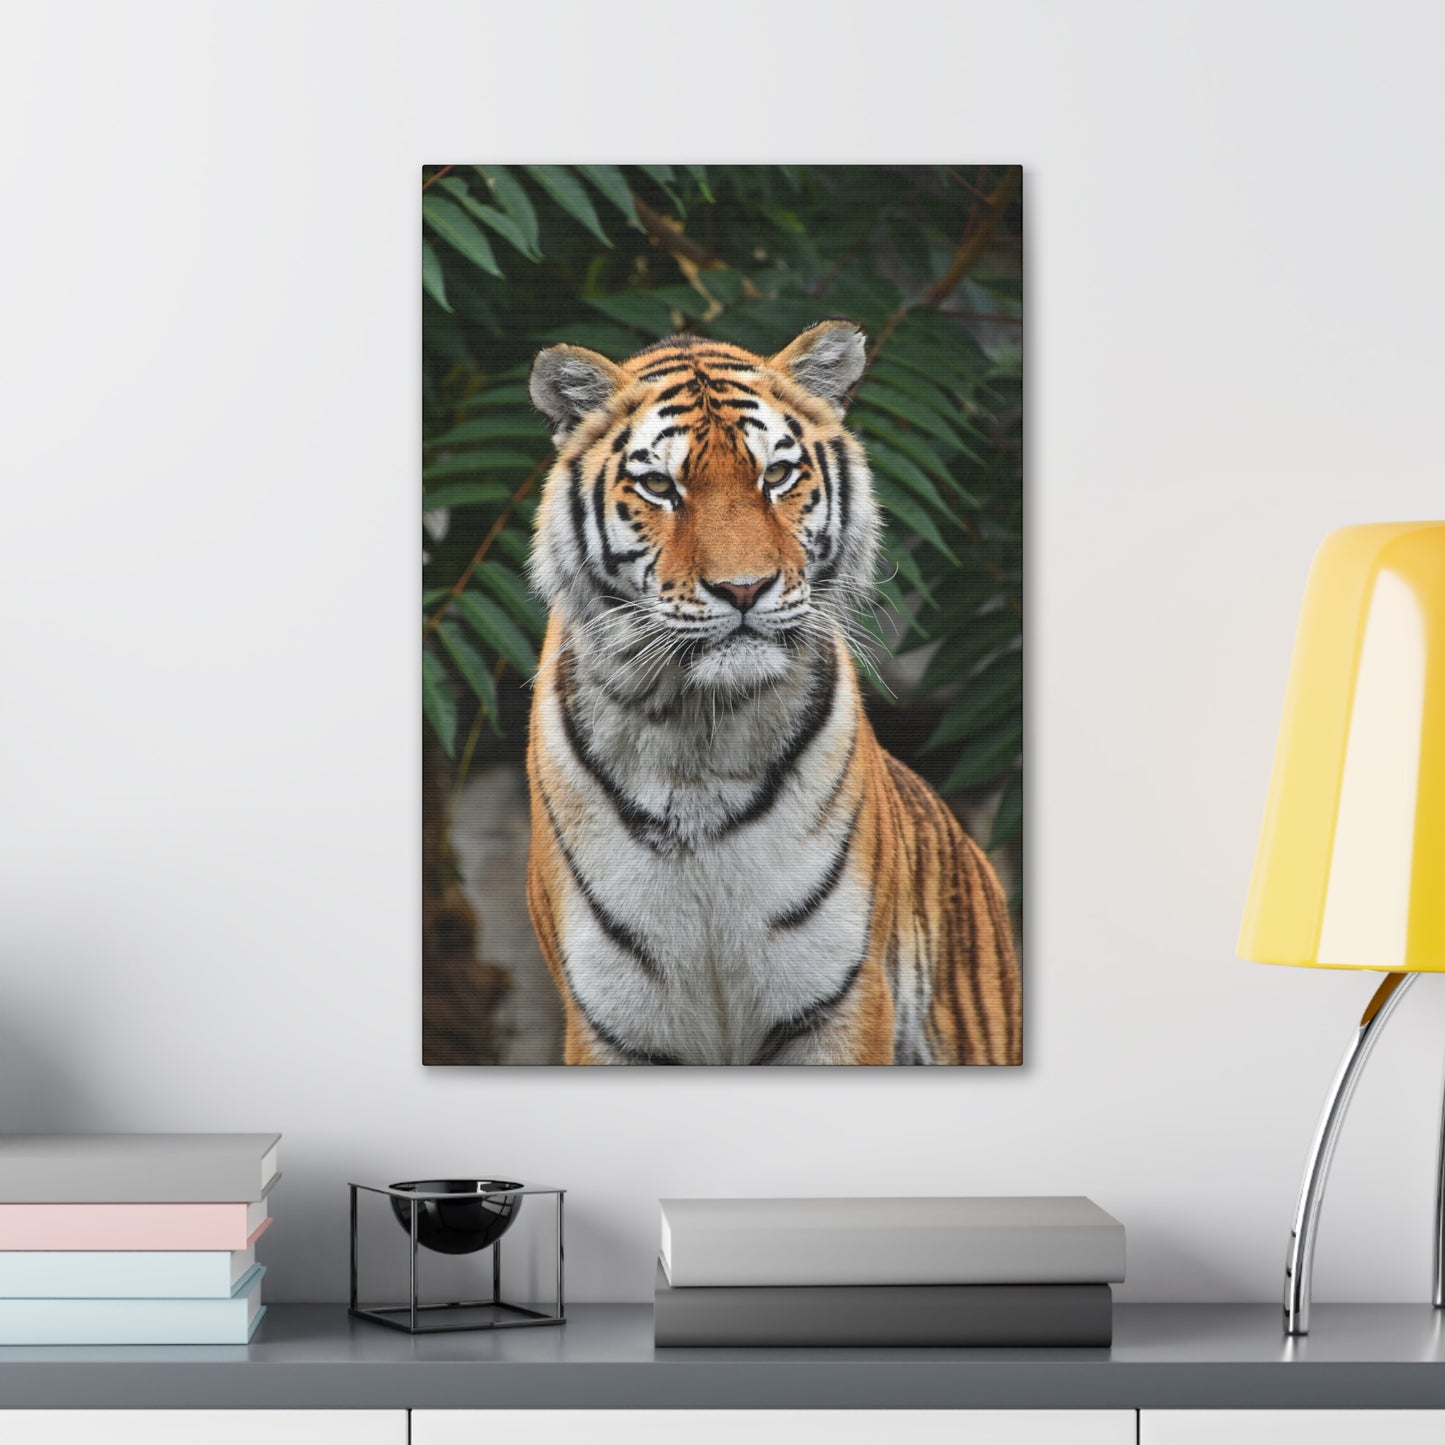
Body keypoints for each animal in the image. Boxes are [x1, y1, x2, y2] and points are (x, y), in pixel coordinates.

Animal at [523, 321, 1021, 1065]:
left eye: (776, 475)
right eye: (659, 485)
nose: (744, 588)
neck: (696, 734)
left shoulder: (840, 1001)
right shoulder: (612, 1023)